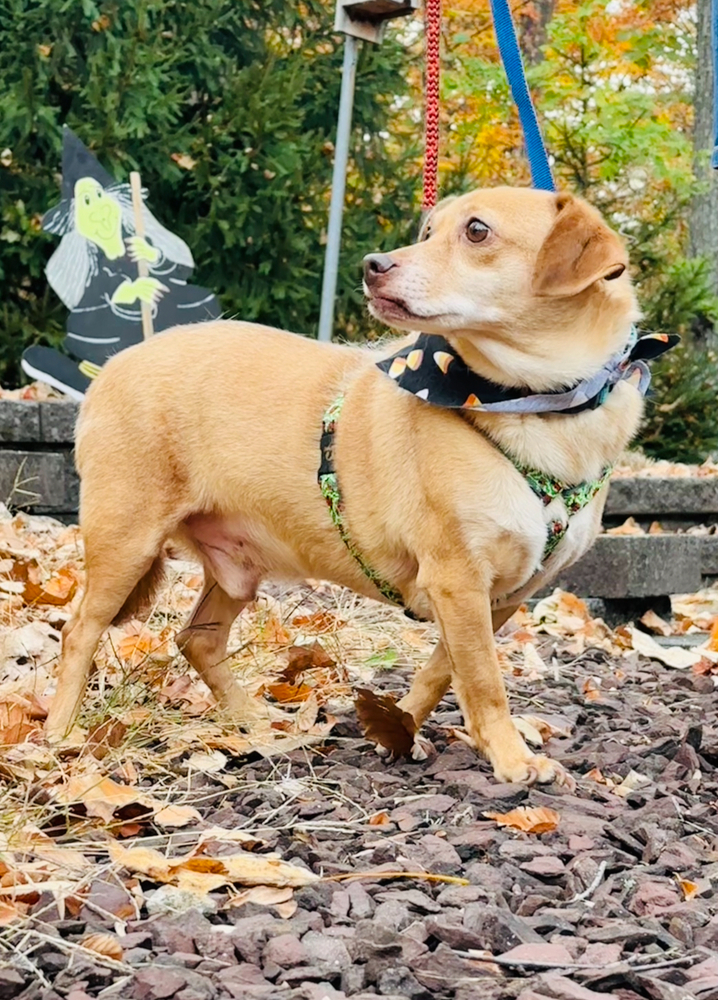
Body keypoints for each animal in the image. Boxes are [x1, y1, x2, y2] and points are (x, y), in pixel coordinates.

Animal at [45, 186, 640, 780]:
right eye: (428, 231)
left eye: (476, 231)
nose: (373, 265)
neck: (536, 405)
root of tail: (113, 365)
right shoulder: (457, 578)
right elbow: (483, 679)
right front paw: (512, 758)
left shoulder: (502, 596)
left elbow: (443, 671)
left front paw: (398, 726)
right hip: (126, 542)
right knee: (79, 632)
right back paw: (58, 735)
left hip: (235, 571)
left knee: (199, 641)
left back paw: (253, 723)